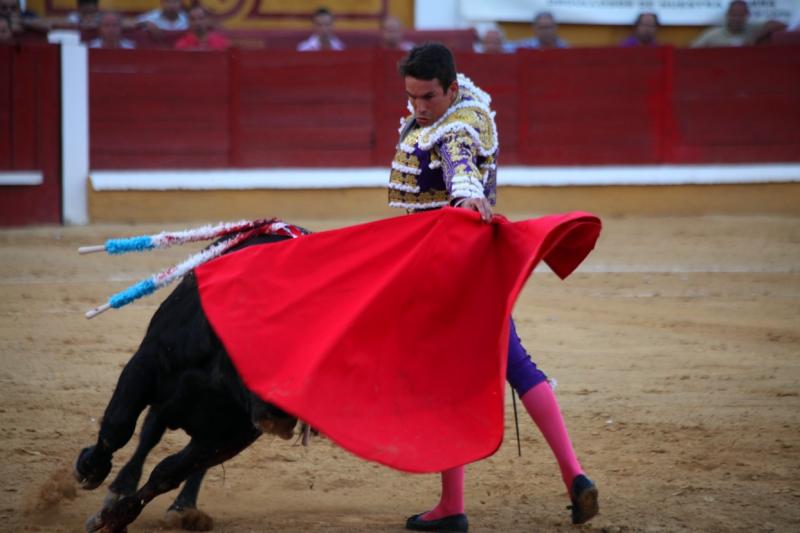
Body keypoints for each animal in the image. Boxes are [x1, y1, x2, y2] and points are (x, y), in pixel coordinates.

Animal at [73, 234, 298, 532]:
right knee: (148, 434)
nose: (281, 416)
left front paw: (113, 519)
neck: (218, 373)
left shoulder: (231, 435)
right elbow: (117, 427)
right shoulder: (144, 366)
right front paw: (90, 468)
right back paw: (119, 487)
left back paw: (184, 508)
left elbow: (166, 474)